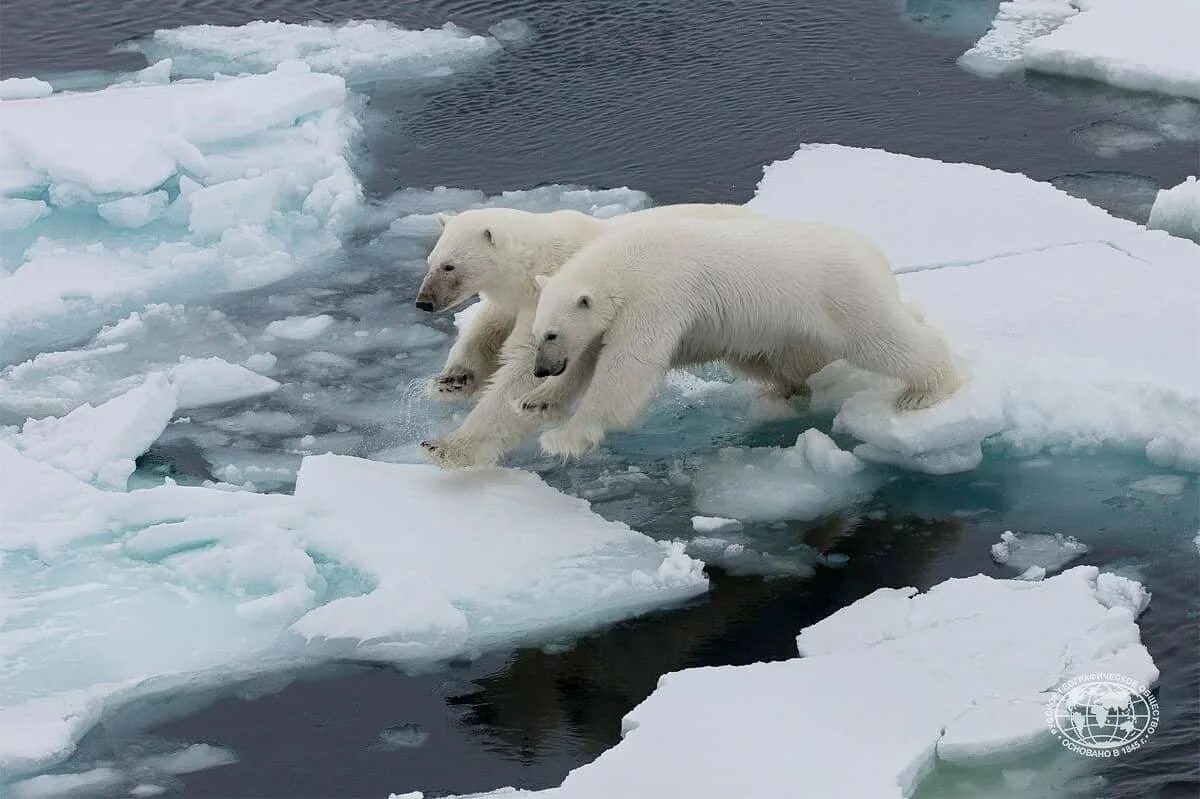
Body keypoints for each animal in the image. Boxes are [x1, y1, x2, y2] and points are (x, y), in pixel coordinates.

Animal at [412, 203, 748, 467]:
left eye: (449, 266)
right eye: (430, 261)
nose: (424, 302)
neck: (538, 259)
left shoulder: (554, 297)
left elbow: (523, 366)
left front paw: (446, 447)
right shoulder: (523, 299)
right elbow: (487, 327)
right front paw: (452, 380)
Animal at [530, 214, 960, 458]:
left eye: (551, 334)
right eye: (537, 334)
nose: (540, 370)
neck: (628, 263)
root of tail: (875, 254)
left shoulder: (659, 295)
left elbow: (628, 366)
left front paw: (561, 439)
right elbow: (590, 356)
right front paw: (538, 400)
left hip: (840, 297)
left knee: (883, 339)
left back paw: (924, 390)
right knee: (779, 362)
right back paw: (786, 393)